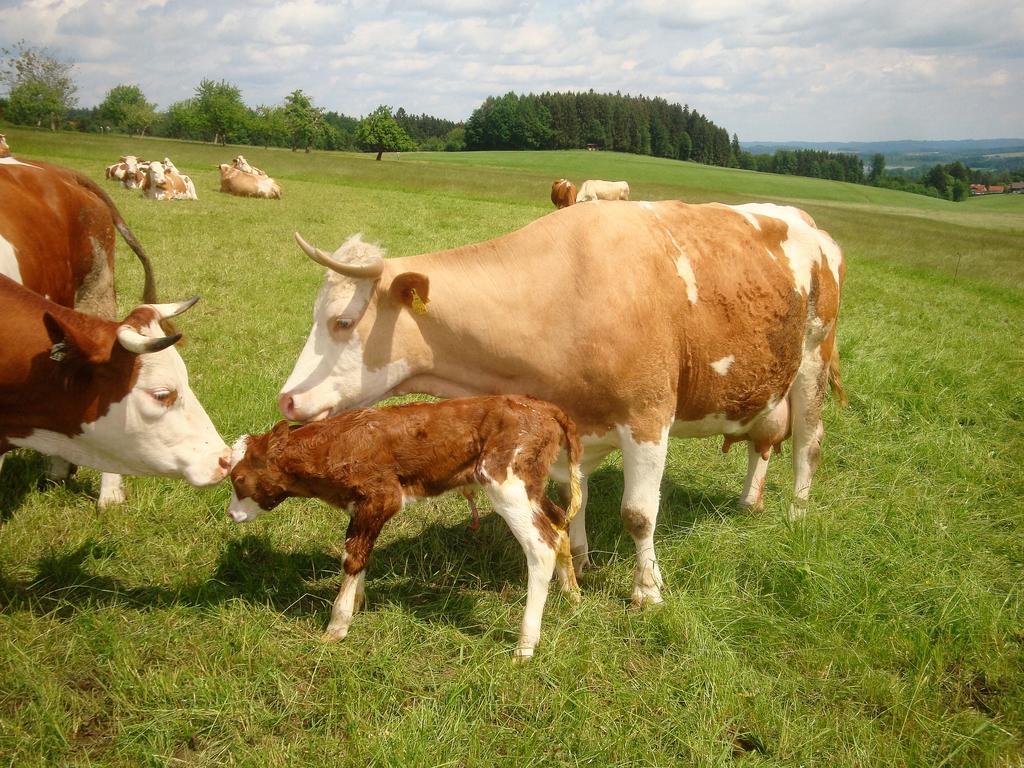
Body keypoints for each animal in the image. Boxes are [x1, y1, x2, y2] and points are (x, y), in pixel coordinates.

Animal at [228, 397, 581, 663]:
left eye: (239, 478)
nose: (232, 514)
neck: (334, 446)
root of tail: (544, 407)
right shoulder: (361, 507)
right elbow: (360, 553)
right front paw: (357, 603)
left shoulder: (381, 496)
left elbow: (352, 557)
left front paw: (336, 627)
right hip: (531, 486)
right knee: (558, 521)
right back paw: (572, 594)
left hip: (504, 480)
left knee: (542, 545)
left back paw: (525, 646)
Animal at [276, 201, 843, 610]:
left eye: (343, 322)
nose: (287, 398)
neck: (563, 293)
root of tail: (808, 220)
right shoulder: (571, 424)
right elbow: (576, 498)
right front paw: (585, 563)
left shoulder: (648, 417)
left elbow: (639, 513)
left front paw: (647, 590)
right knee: (761, 445)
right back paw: (749, 502)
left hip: (813, 358)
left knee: (807, 445)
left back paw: (796, 512)